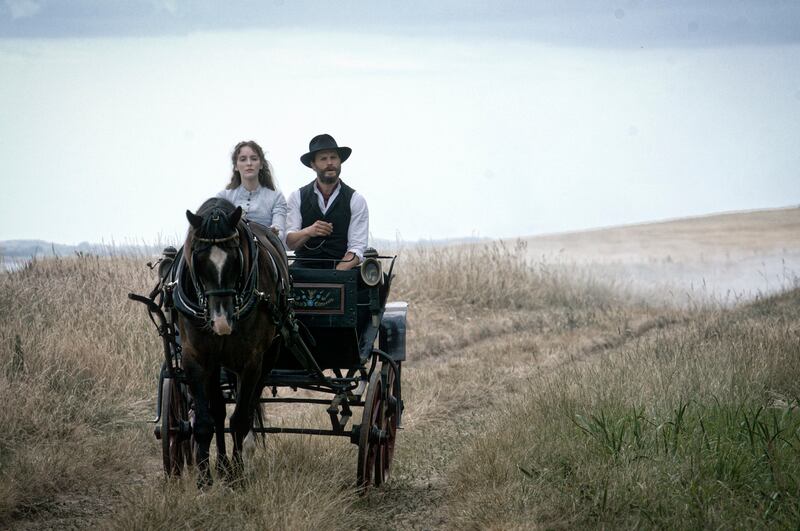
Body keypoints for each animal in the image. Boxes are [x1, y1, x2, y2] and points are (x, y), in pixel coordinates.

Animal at [177, 196, 290, 486]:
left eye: (235, 258)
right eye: (197, 257)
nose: (221, 322)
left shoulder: (251, 361)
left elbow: (239, 420)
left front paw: (237, 477)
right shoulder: (195, 358)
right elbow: (204, 421)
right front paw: (205, 478)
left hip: (268, 358)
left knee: (247, 410)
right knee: (218, 410)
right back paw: (222, 466)